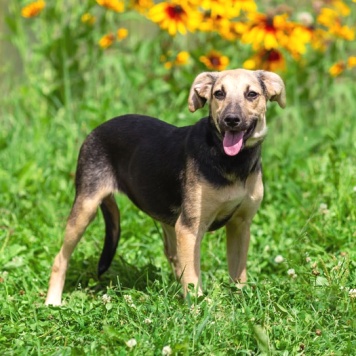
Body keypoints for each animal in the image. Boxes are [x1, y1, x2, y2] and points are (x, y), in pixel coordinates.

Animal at [45, 69, 284, 306]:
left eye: (252, 94)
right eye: (219, 93)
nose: (231, 120)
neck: (232, 162)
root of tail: (96, 129)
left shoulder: (240, 225)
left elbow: (238, 274)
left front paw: (242, 303)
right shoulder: (189, 228)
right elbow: (193, 279)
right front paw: (199, 311)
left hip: (168, 218)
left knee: (173, 255)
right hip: (86, 207)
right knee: (60, 258)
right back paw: (52, 302)